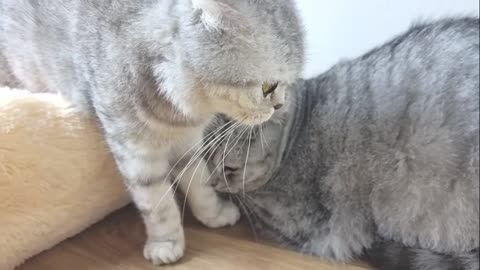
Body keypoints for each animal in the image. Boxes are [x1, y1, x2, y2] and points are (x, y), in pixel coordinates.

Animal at [0, 0, 304, 266]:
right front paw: (166, 243)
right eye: (268, 87)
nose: (280, 105)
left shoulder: (187, 144)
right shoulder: (136, 152)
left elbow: (200, 184)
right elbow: (158, 204)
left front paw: (213, 214)